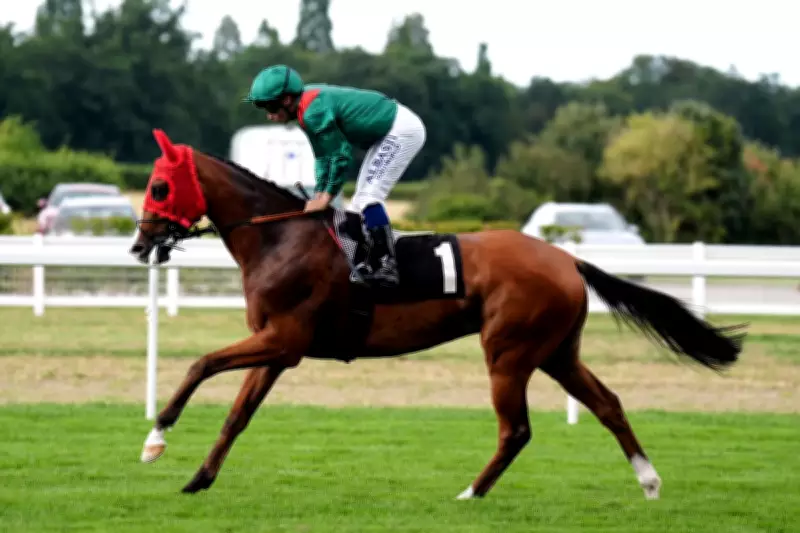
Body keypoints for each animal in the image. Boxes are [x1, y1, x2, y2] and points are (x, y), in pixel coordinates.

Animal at [130, 129, 746, 499]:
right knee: (608, 404)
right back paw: (648, 479)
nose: (139, 244)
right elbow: (238, 415)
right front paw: (199, 477)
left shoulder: (285, 340)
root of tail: (566, 257)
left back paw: (471, 493)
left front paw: (155, 438)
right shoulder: (278, 348)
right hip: (556, 353)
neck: (280, 237)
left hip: (509, 352)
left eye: (159, 185)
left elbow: (200, 365)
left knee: (516, 429)